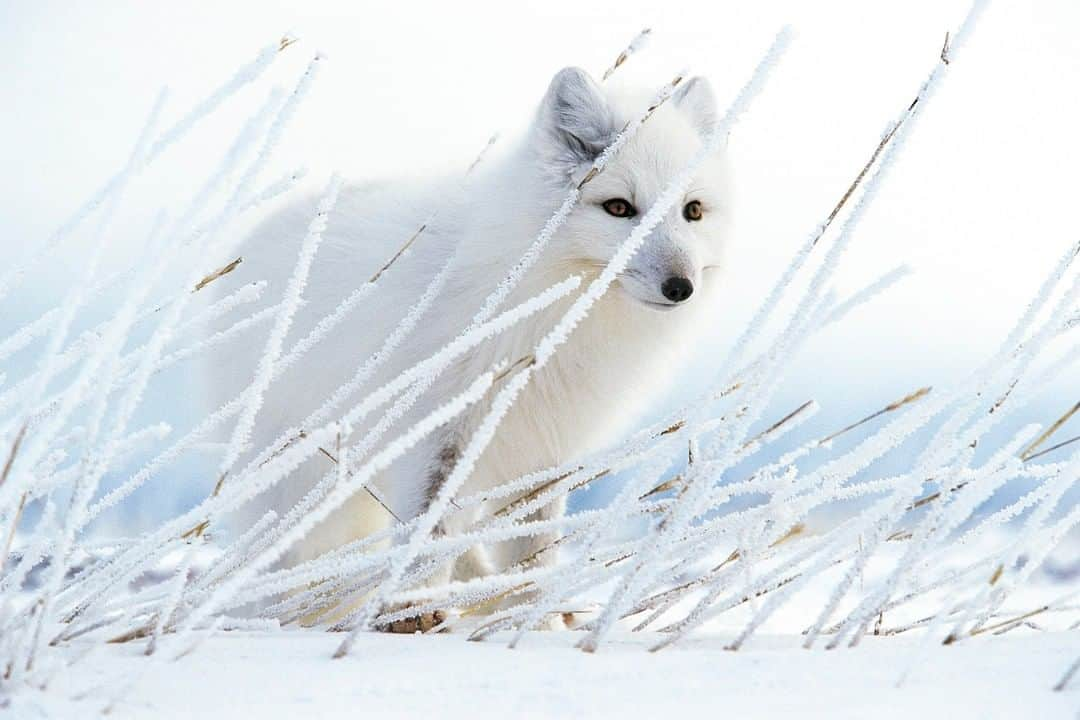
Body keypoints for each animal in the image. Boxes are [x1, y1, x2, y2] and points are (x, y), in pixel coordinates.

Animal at [199, 67, 730, 630]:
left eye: (693, 210)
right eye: (619, 208)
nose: (681, 287)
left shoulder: (544, 448)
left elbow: (530, 548)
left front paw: (533, 618)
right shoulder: (435, 432)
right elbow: (426, 533)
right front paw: (414, 609)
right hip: (297, 479)